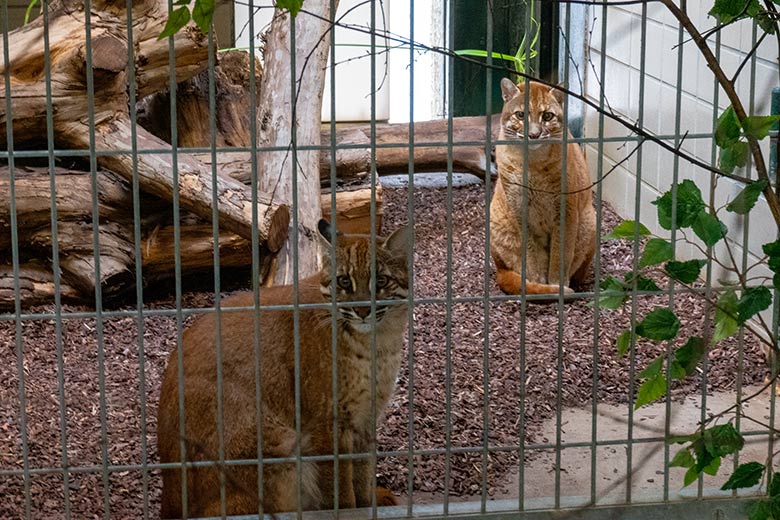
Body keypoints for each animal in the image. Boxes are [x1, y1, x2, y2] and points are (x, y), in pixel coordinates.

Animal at [157, 219, 408, 516]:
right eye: (344, 281)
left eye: (381, 281)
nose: (361, 310)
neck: (377, 341)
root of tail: (169, 499)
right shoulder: (327, 421)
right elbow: (339, 482)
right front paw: (348, 510)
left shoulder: (365, 416)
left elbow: (363, 468)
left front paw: (369, 502)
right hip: (280, 444)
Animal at [490, 78, 596, 294]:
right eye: (521, 115)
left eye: (547, 116)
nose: (534, 134)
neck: (532, 163)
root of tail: (498, 269)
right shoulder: (520, 210)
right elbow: (531, 253)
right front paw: (536, 283)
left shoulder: (566, 210)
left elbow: (560, 253)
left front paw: (556, 285)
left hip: (590, 220)